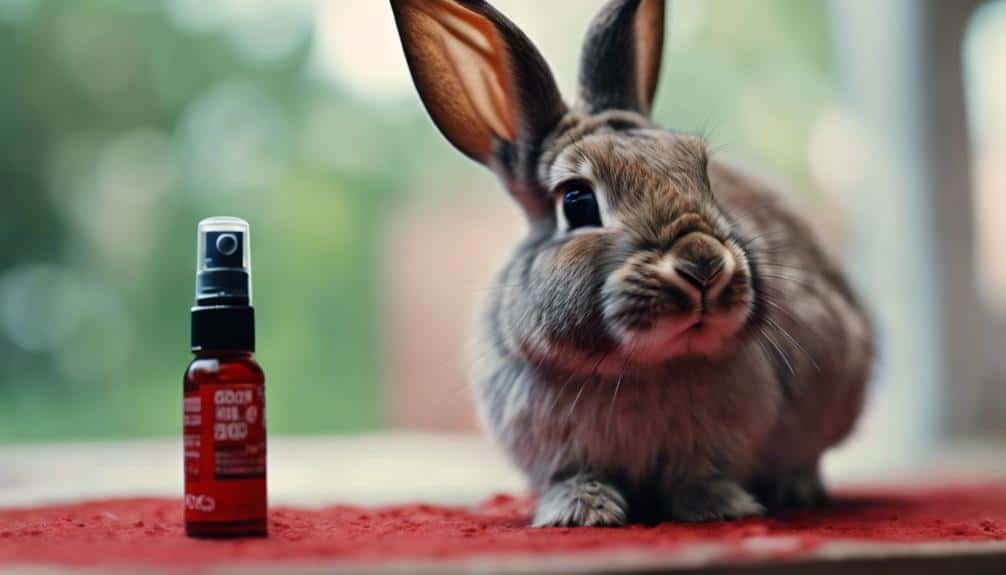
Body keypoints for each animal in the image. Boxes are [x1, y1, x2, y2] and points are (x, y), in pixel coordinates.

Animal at [391, 0, 874, 527]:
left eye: (704, 175)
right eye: (577, 202)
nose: (702, 265)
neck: (637, 368)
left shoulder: (713, 443)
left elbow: (699, 475)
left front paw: (721, 508)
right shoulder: (556, 450)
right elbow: (575, 476)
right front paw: (582, 514)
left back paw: (794, 489)